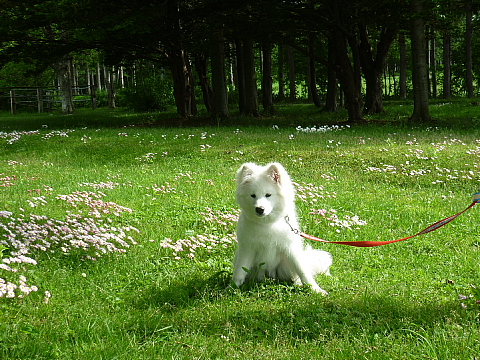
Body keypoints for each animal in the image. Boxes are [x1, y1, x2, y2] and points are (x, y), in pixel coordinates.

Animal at [232, 163, 330, 296]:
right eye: (253, 195)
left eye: (268, 195)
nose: (259, 209)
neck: (268, 224)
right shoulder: (247, 249)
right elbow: (240, 271)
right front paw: (232, 287)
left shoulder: (291, 248)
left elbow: (302, 270)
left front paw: (316, 289)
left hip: (285, 262)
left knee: (296, 274)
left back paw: (298, 283)